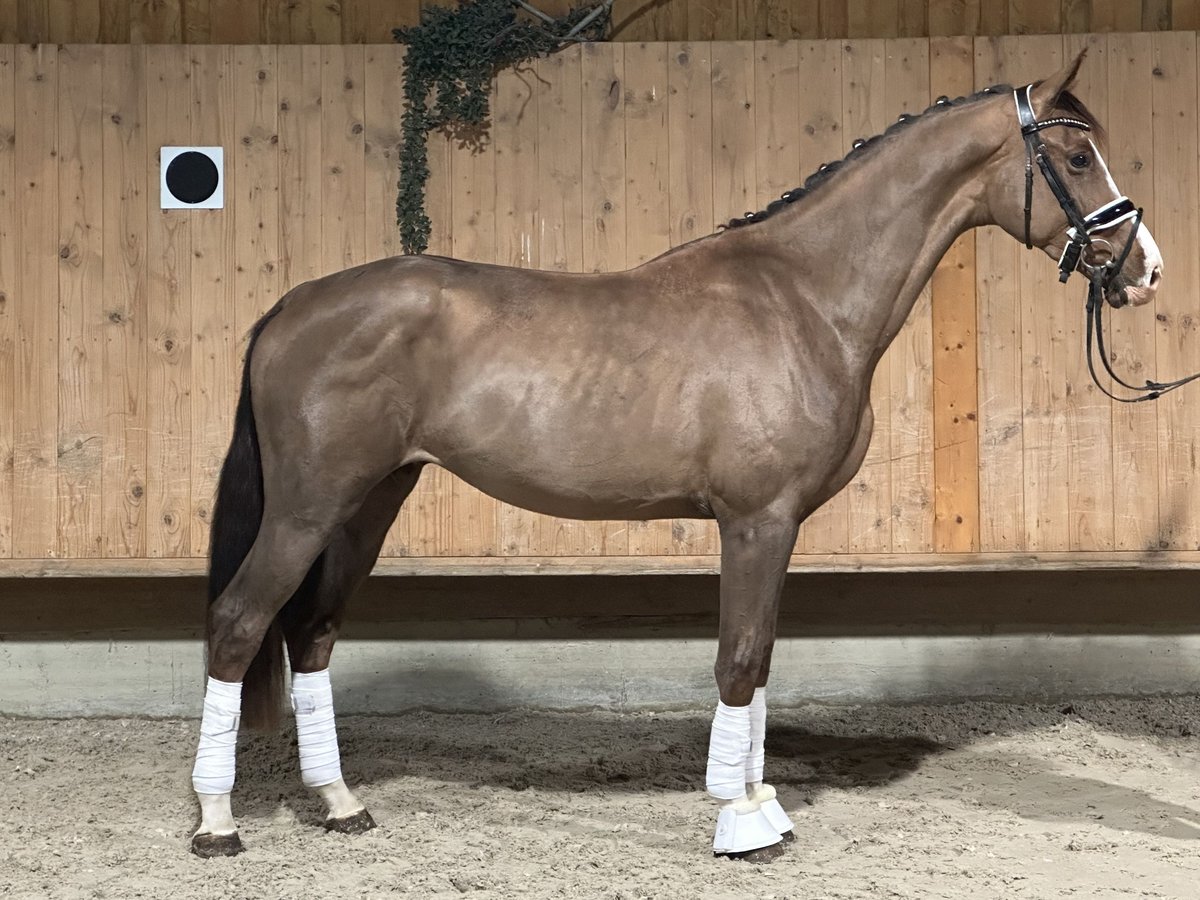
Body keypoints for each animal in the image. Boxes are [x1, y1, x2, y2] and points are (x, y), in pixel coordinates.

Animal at [187, 52, 1161, 864]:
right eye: (1077, 159)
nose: (1143, 269)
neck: (803, 297)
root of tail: (291, 307)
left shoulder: (779, 527)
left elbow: (760, 663)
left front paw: (763, 805)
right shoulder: (755, 520)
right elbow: (737, 660)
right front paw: (740, 824)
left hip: (369, 502)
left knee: (311, 634)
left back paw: (341, 805)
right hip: (308, 507)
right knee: (238, 624)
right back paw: (217, 825)